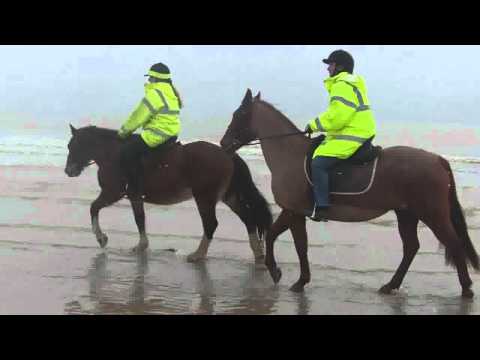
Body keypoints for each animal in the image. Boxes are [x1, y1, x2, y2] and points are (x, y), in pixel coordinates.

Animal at [65, 124, 272, 262]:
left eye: (73, 146)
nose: (69, 170)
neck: (113, 155)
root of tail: (227, 154)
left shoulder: (113, 192)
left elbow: (95, 208)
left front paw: (102, 238)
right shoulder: (132, 196)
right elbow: (139, 218)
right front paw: (141, 246)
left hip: (204, 197)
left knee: (211, 224)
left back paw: (198, 255)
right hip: (228, 196)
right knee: (247, 218)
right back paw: (258, 253)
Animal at [219, 88, 478, 296]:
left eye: (238, 115)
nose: (223, 144)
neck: (289, 155)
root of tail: (437, 159)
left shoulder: (292, 211)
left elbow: (279, 238)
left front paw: (278, 272)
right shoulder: (295, 213)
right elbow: (296, 244)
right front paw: (299, 280)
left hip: (432, 214)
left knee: (453, 244)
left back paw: (466, 289)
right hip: (407, 213)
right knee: (411, 247)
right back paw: (391, 285)